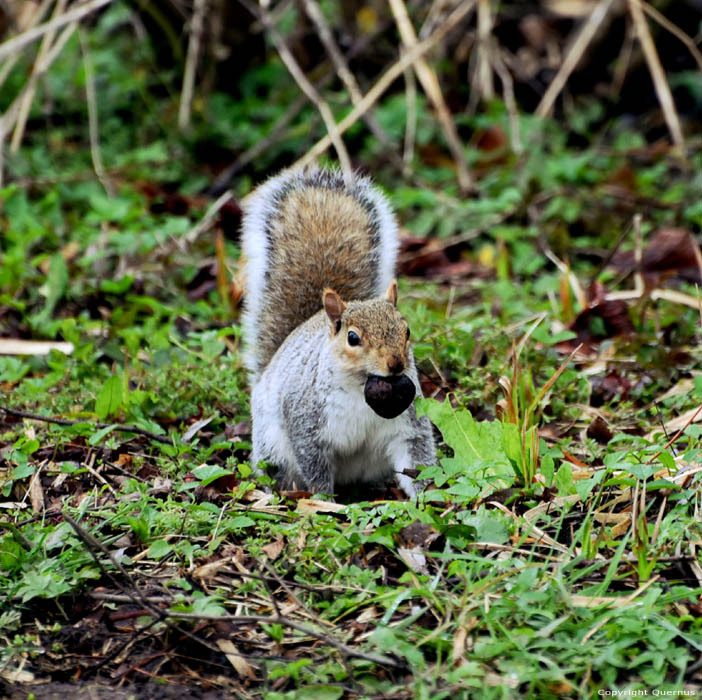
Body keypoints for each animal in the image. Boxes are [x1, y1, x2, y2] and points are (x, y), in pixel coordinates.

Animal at [245, 167, 438, 498]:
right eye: (353, 338)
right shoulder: (307, 421)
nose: (396, 363)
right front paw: (325, 500)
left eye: (407, 331)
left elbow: (416, 456)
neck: (362, 388)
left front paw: (431, 495)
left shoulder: (407, 424)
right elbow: (314, 465)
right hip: (271, 447)